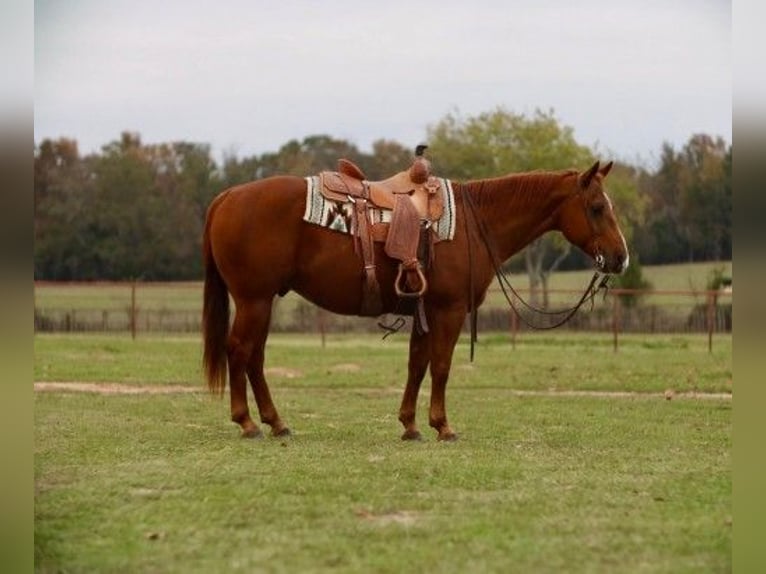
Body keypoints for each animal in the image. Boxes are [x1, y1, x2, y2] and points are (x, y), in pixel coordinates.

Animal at [202, 160, 632, 444]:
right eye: (598, 208)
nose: (620, 258)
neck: (476, 221)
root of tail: (226, 196)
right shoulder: (449, 310)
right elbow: (440, 367)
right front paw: (443, 426)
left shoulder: (426, 311)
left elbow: (417, 365)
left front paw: (410, 425)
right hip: (254, 300)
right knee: (239, 350)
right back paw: (247, 422)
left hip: (262, 302)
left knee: (254, 357)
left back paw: (276, 422)